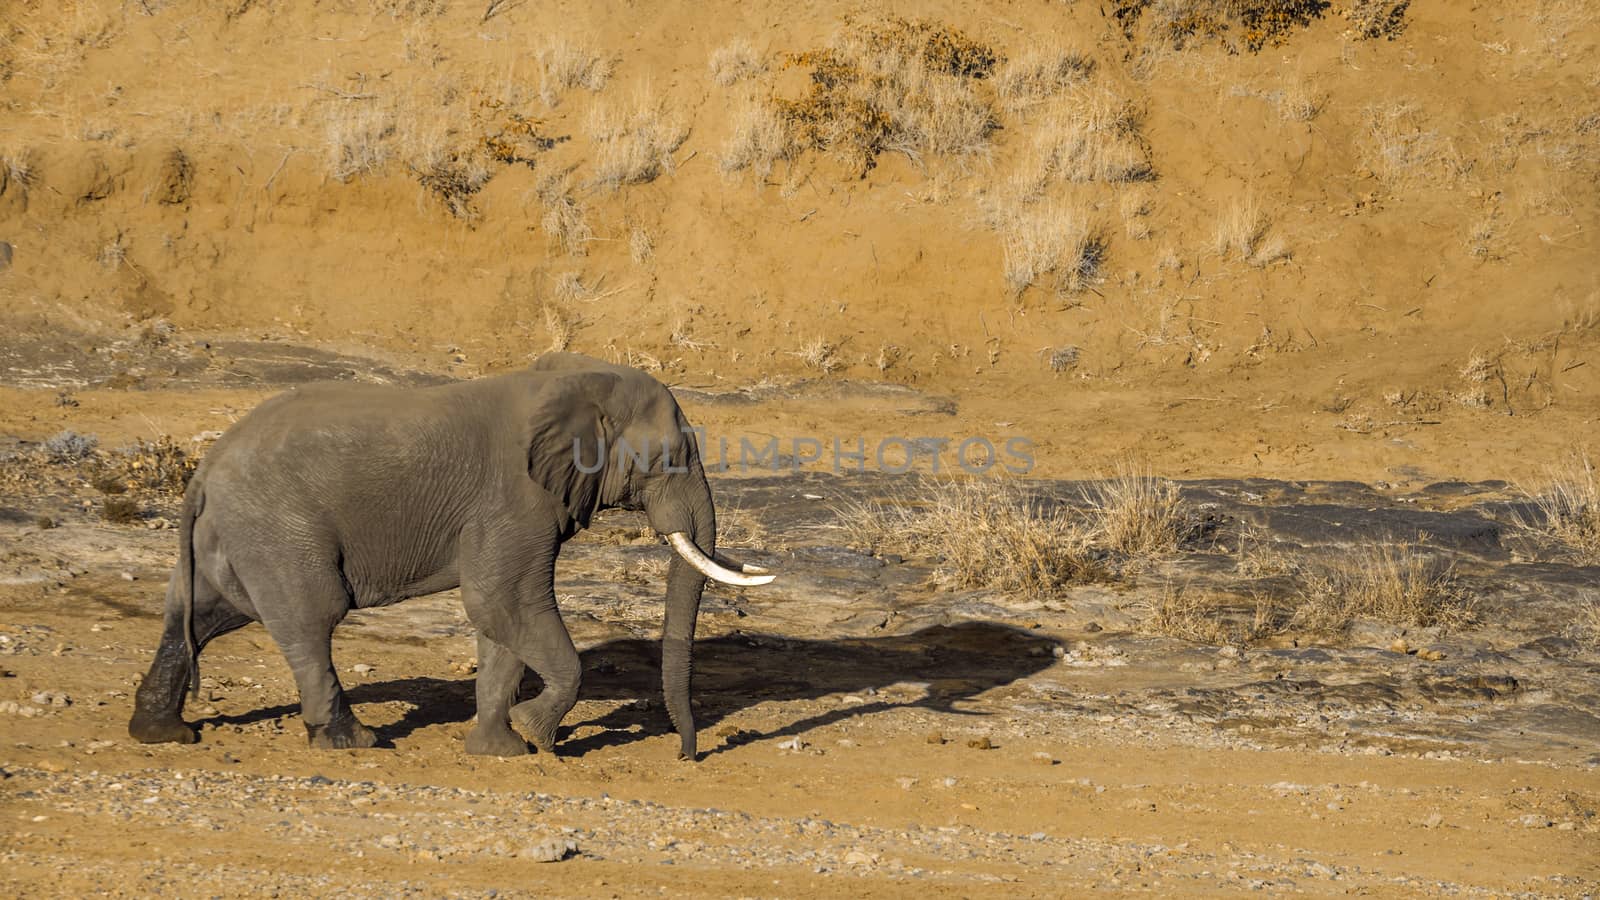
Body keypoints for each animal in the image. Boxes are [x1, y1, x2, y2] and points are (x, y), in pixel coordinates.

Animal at [126, 350, 774, 755]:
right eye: (669, 458)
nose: (689, 756)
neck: (567, 381)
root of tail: (203, 470)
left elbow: (501, 623)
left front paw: (501, 749)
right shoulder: (514, 497)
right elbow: (502, 603)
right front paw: (535, 736)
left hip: (236, 534)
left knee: (200, 614)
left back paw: (162, 735)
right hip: (279, 528)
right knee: (311, 618)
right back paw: (352, 742)